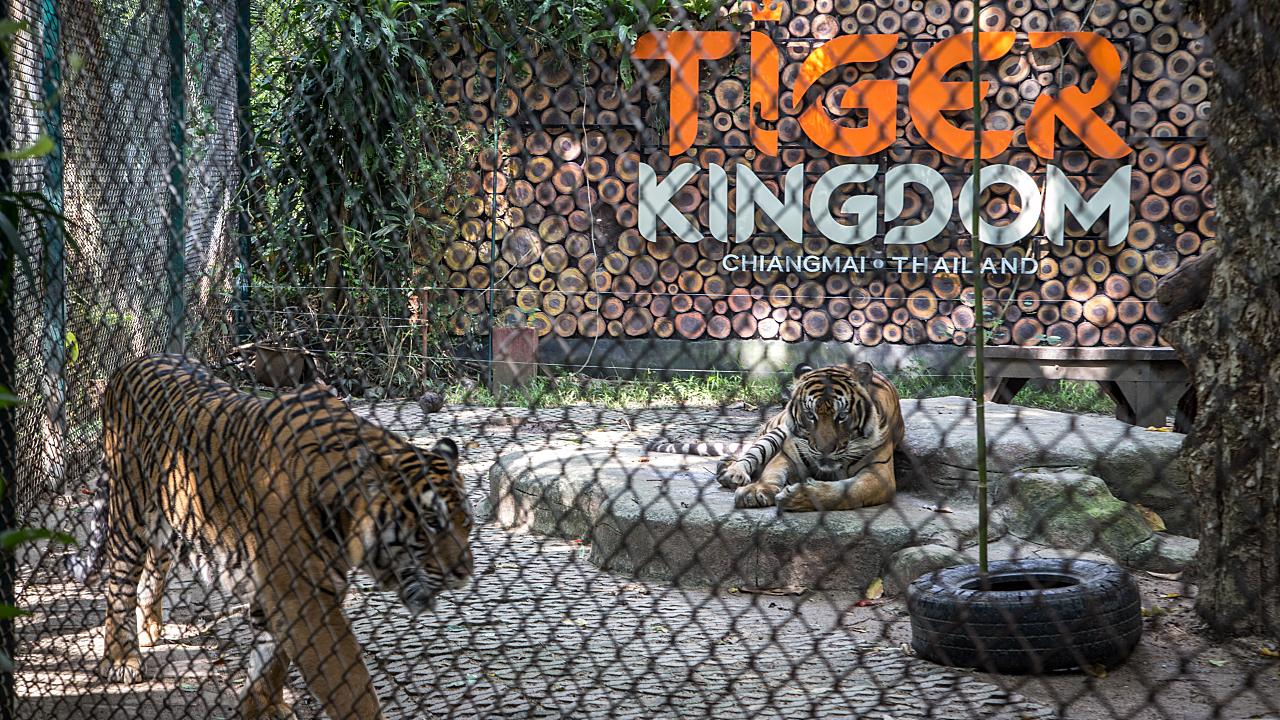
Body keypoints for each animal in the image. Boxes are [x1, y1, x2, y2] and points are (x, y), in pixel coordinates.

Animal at [66, 354, 473, 719]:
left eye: (467, 523)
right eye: (432, 522)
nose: (464, 573)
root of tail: (127, 365)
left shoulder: (286, 589)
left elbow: (272, 658)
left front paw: (263, 707)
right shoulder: (304, 595)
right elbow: (349, 682)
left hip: (170, 518)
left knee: (154, 568)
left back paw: (150, 629)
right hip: (129, 511)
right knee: (119, 583)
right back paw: (122, 658)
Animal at [646, 362, 904, 513]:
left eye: (842, 416)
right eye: (810, 415)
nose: (824, 449)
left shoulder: (879, 474)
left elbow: (847, 492)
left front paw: (799, 497)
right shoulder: (790, 451)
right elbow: (772, 471)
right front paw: (756, 492)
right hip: (777, 430)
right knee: (751, 453)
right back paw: (731, 472)